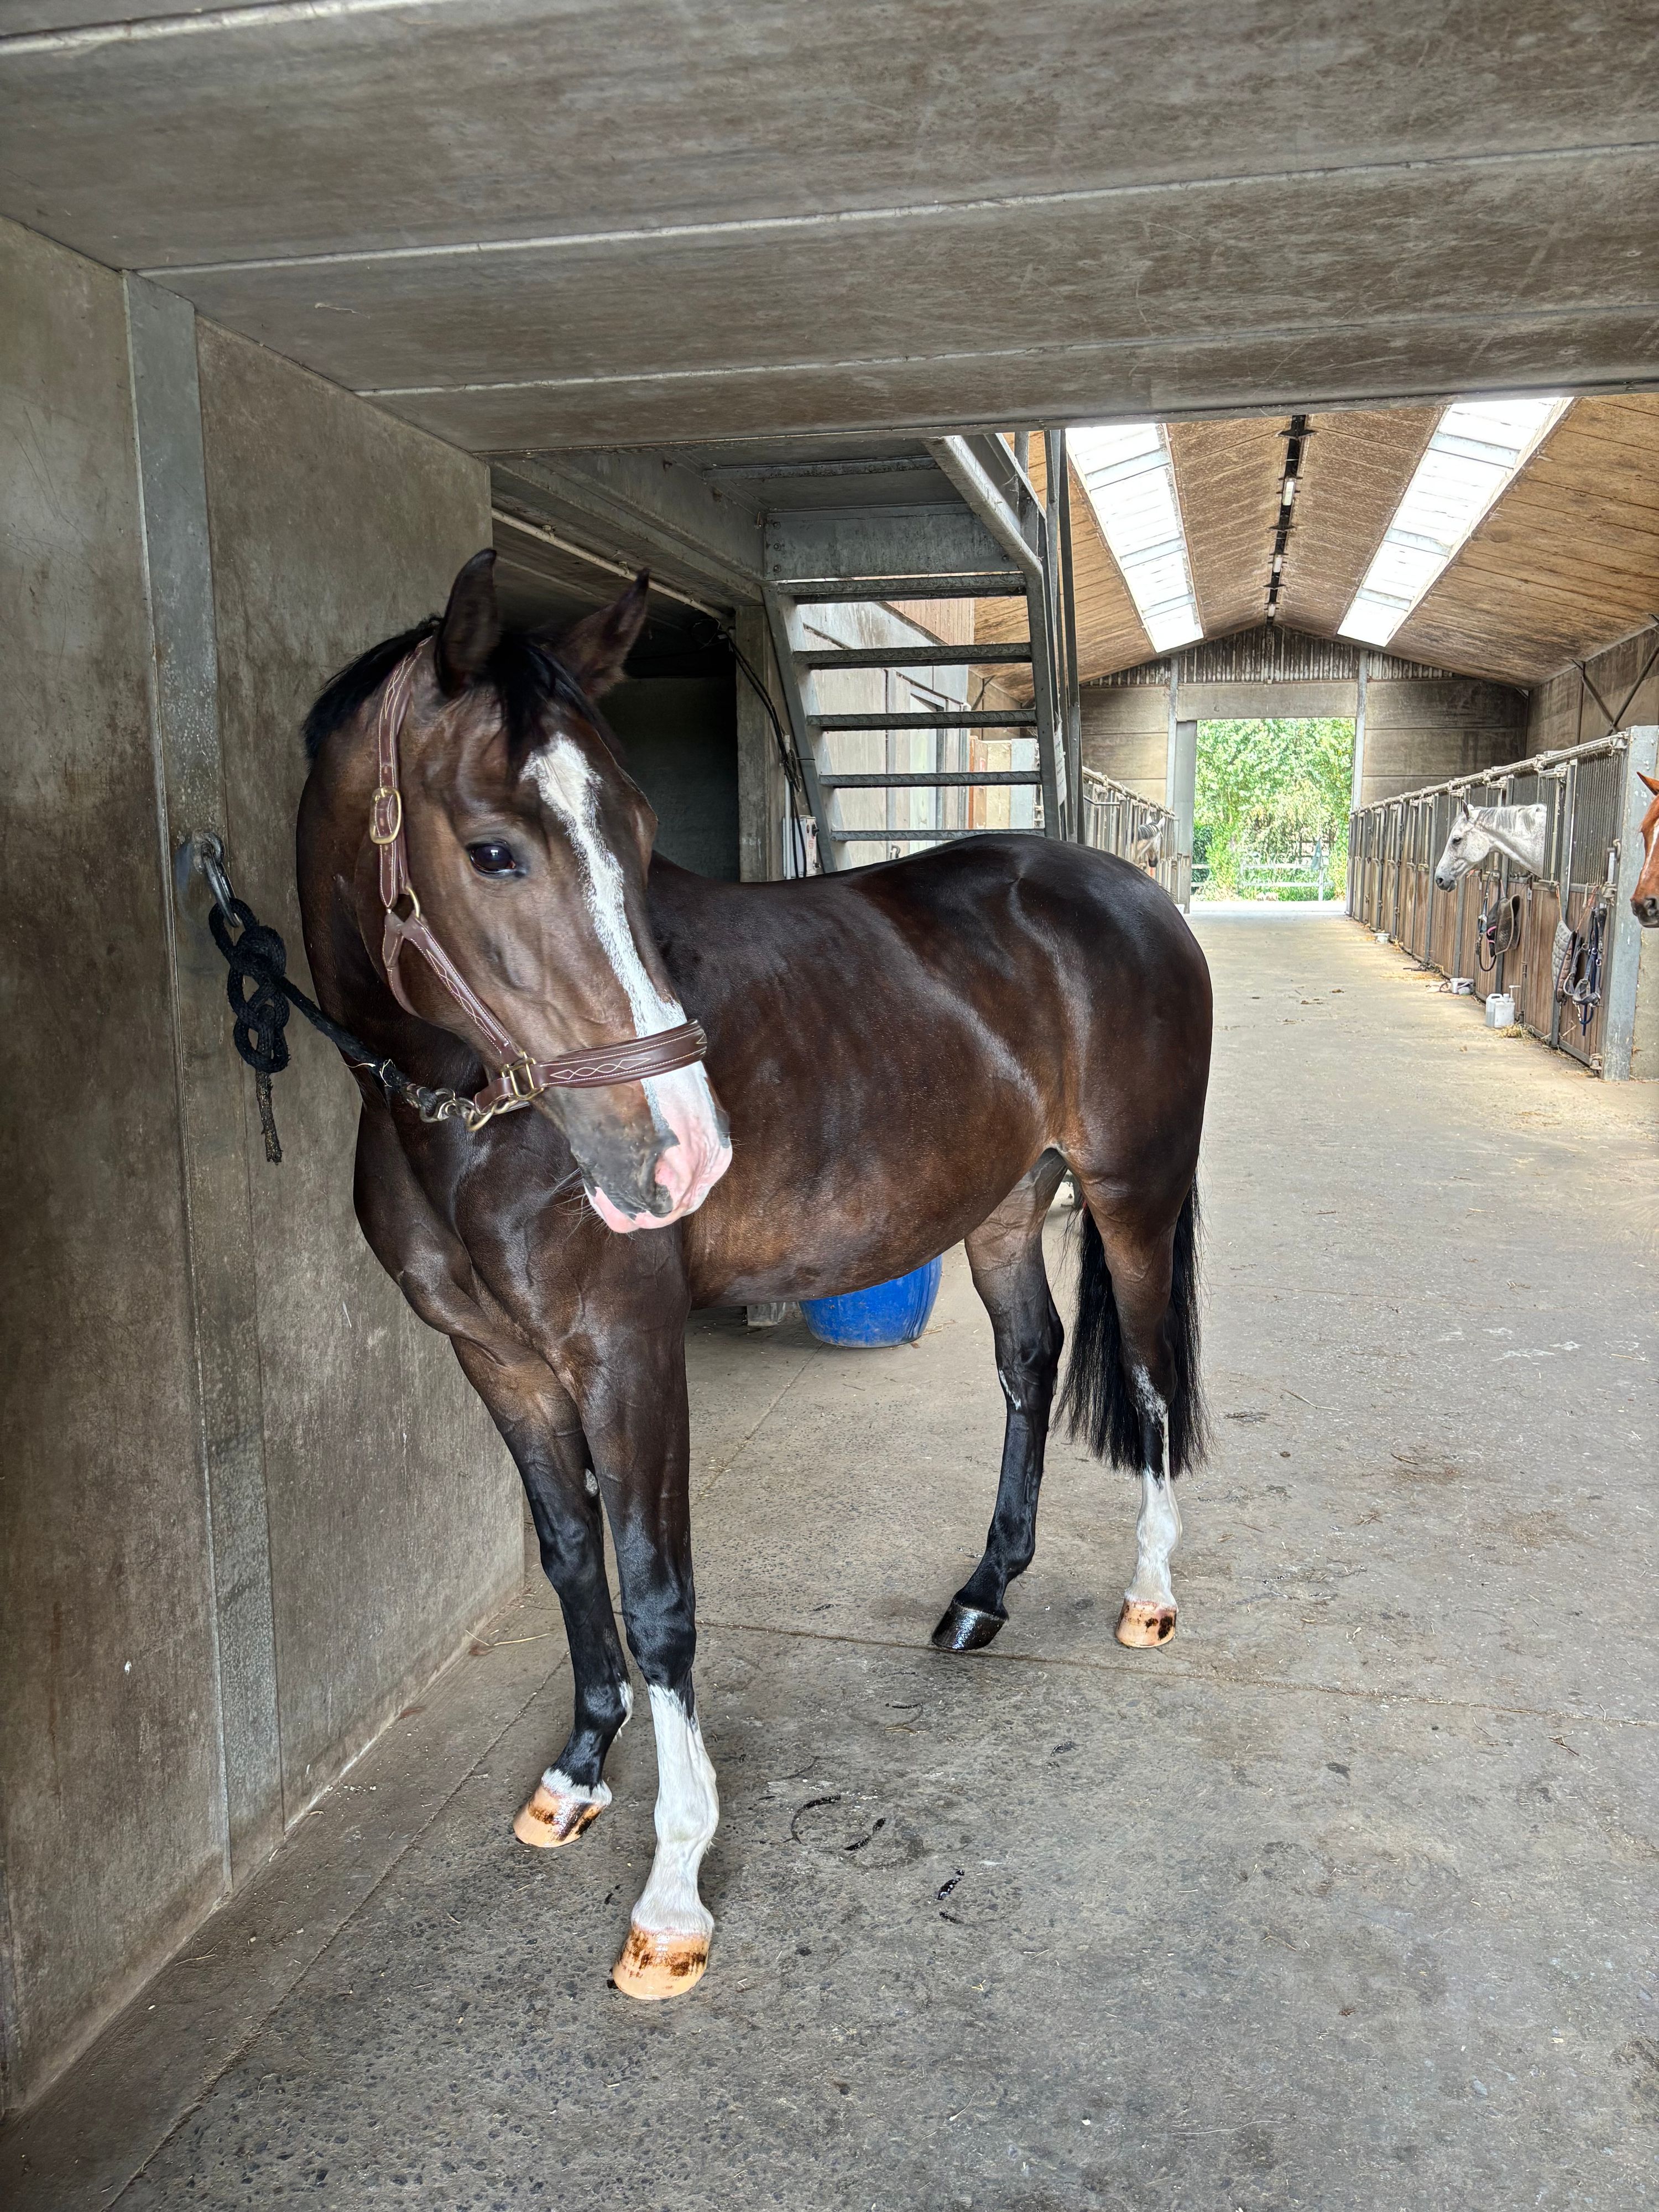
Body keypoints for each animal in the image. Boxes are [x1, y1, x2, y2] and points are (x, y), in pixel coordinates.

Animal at [295, 550, 1212, 2002]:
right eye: (493, 848)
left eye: (631, 829)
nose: (685, 1151)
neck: (468, 1122)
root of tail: (1130, 893)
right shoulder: (495, 1358)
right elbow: (570, 1554)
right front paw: (575, 1775)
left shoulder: (627, 1349)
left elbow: (660, 1593)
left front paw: (673, 1891)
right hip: (1005, 1210)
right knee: (1031, 1363)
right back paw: (982, 1593)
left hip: (1132, 1196)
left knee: (1153, 1377)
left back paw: (1149, 1599)